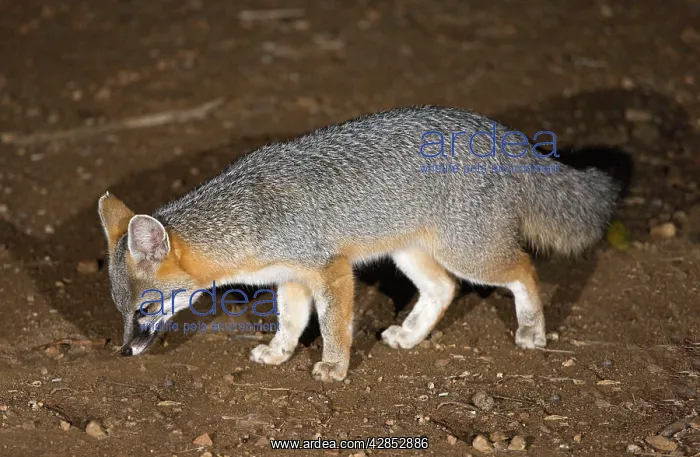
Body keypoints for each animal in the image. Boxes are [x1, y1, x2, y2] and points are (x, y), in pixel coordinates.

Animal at [97, 106, 619, 382]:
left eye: (146, 310)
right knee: (444, 289)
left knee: (524, 269)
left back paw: (531, 330)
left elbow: (332, 325)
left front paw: (333, 366)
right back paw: (410, 334)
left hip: (471, 254)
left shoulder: (330, 269)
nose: (123, 352)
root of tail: (498, 133)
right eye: (121, 310)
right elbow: (291, 321)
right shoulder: (291, 278)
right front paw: (280, 352)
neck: (249, 216)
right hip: (410, 253)